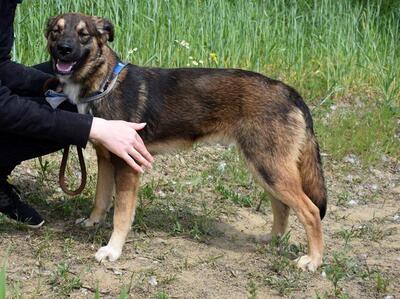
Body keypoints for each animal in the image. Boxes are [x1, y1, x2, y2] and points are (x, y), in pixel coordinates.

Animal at [43, 12, 326, 274]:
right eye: (56, 31)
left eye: (83, 34)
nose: (64, 49)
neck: (104, 83)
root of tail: (288, 91)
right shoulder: (106, 158)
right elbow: (101, 199)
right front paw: (93, 222)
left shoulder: (127, 166)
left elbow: (121, 214)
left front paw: (113, 250)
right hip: (264, 170)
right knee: (282, 207)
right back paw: (272, 239)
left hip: (269, 169)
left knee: (311, 212)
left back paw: (313, 260)